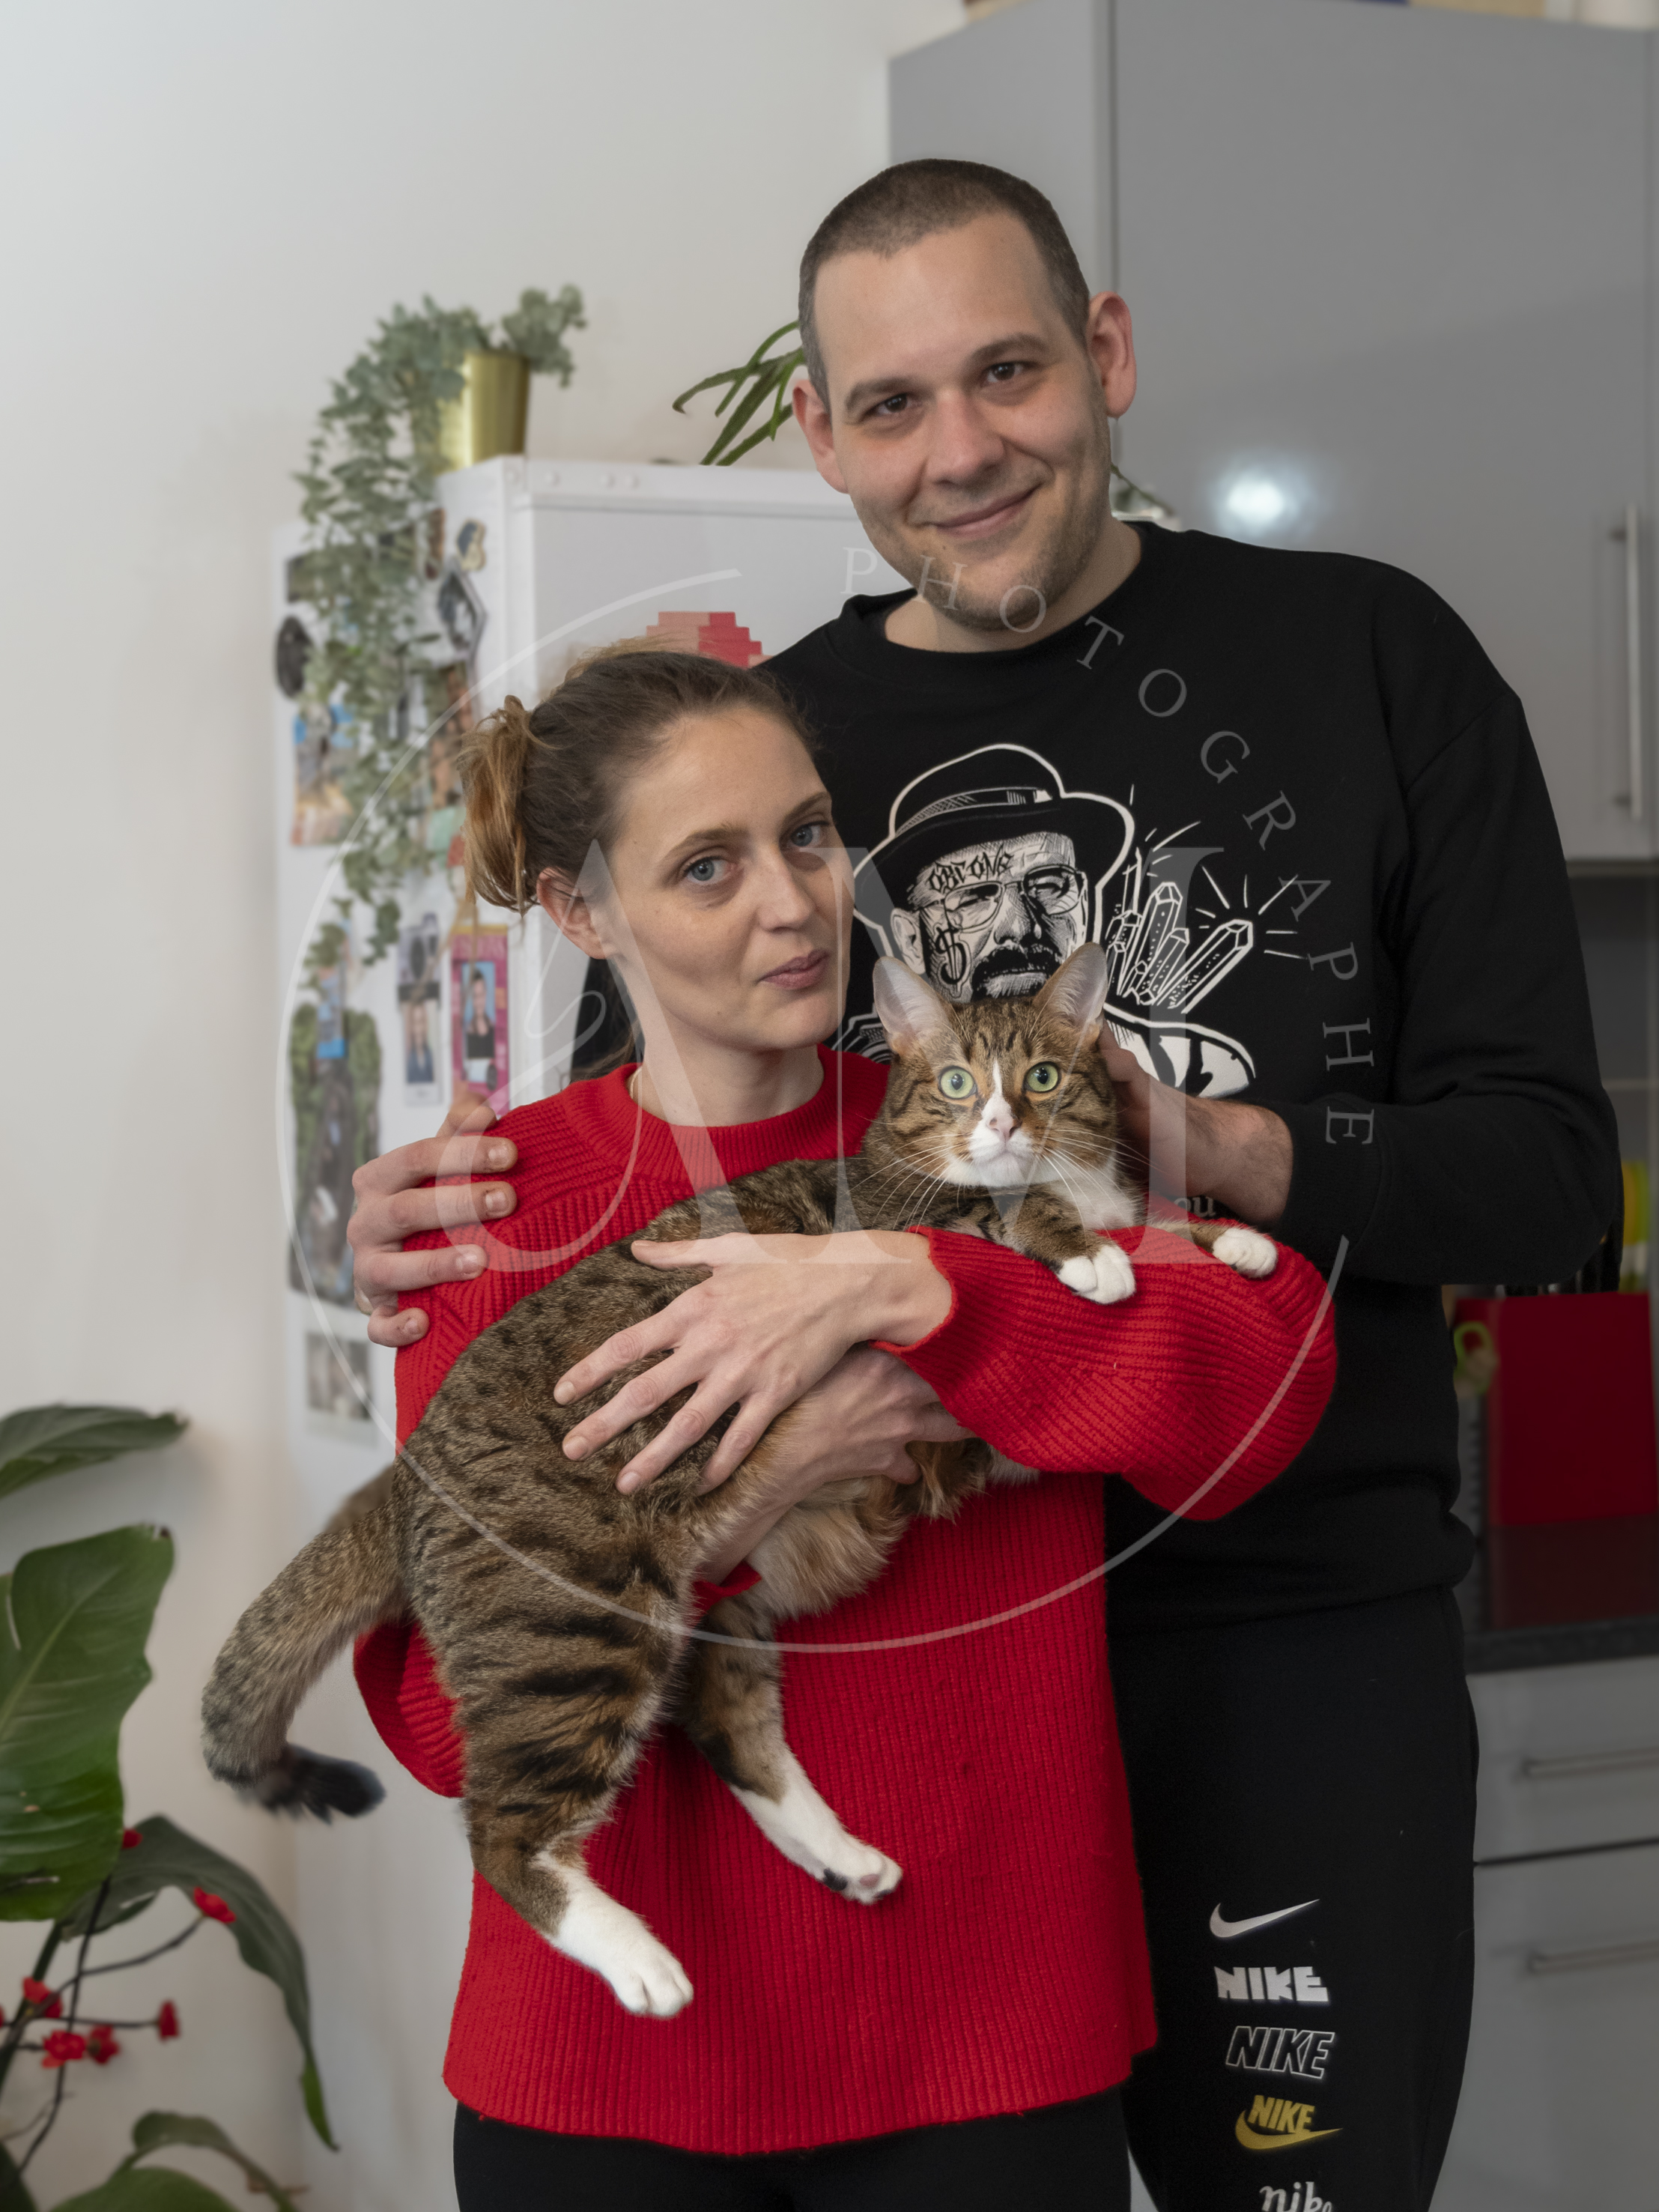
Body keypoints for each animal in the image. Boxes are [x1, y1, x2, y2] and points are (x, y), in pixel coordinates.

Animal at [202, 944, 1275, 2018]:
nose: (1004, 1124)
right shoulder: (908, 1219)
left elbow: (1156, 1223)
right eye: (955, 1084)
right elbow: (1006, 1207)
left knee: (722, 1717)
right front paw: (1088, 1252)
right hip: (574, 1618)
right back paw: (638, 1958)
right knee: (502, 1832)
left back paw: (840, 1853)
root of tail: (410, 1468)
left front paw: (1230, 1237)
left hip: (718, 1595)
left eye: (1043, 1077)